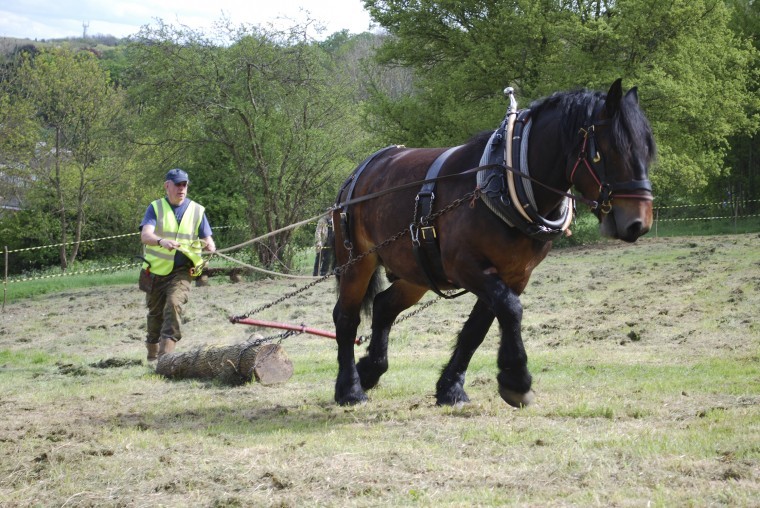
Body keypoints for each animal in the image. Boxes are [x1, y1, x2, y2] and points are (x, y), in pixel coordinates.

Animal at [330, 79, 656, 408]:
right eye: (611, 150)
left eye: (647, 150)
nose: (638, 223)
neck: (504, 183)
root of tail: (362, 171)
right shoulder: (466, 267)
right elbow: (510, 309)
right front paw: (517, 379)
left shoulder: (515, 274)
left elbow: (479, 327)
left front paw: (451, 388)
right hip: (357, 261)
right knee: (345, 317)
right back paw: (350, 389)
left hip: (416, 270)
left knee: (384, 306)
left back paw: (371, 369)